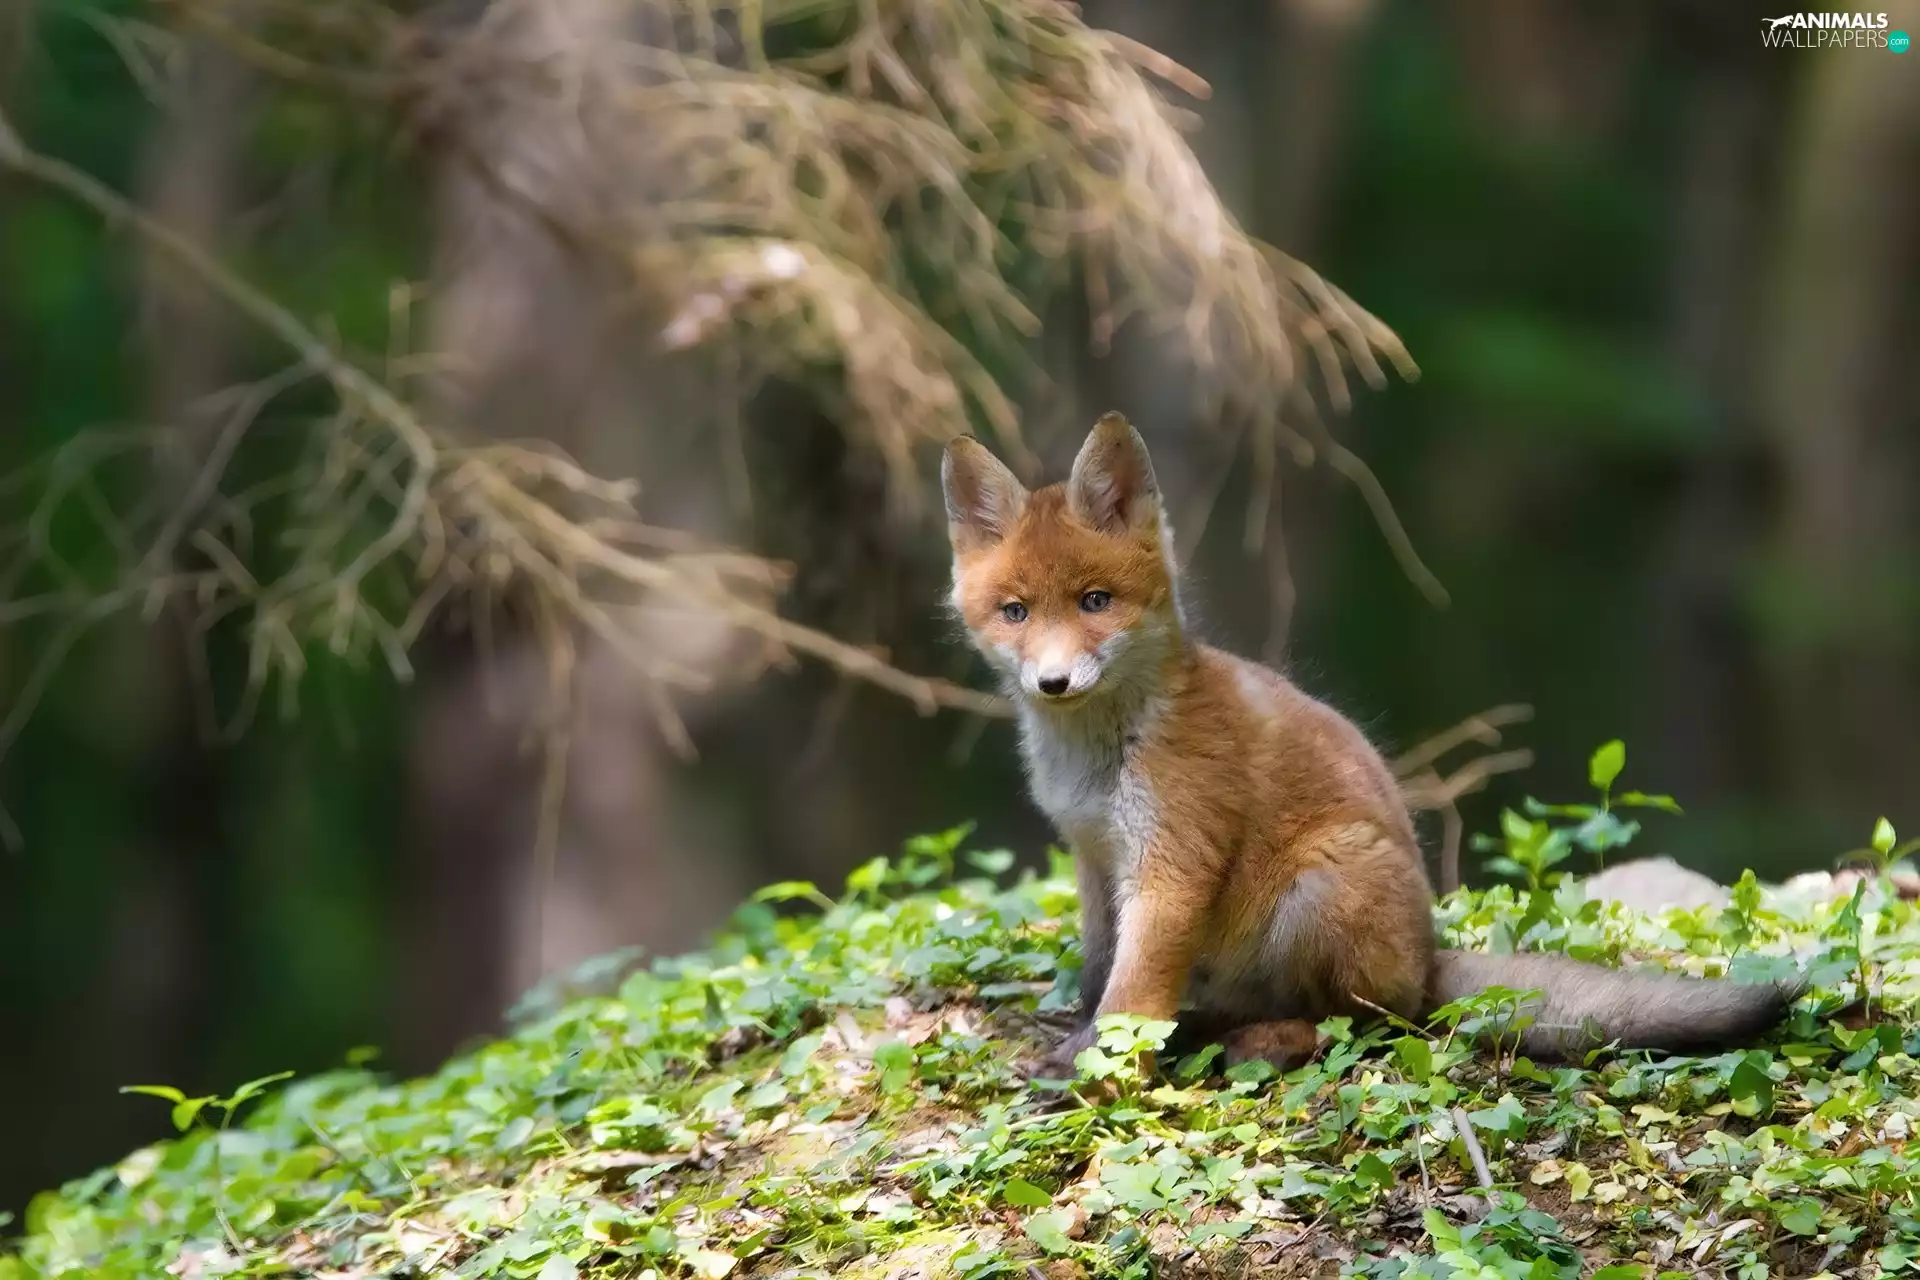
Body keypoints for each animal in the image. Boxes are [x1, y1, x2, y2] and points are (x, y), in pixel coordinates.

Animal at [940, 411, 1799, 1070]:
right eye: (1016, 612)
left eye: (1095, 601)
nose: (1053, 683)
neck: (1096, 757)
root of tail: (1428, 960)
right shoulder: (1092, 855)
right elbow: (1099, 979)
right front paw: (1084, 1040)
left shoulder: (1173, 863)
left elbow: (1132, 995)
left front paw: (1103, 1073)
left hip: (1320, 888)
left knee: (1371, 1025)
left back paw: (1269, 1040)